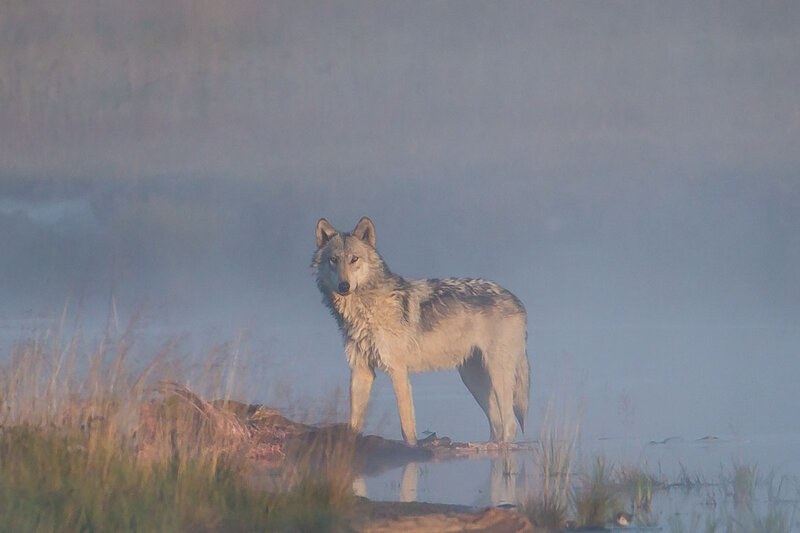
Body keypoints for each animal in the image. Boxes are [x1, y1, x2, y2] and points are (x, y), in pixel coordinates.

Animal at [312, 216, 530, 446]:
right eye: (333, 260)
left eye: (354, 259)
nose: (344, 286)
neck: (365, 309)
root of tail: (515, 298)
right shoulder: (361, 370)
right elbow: (354, 422)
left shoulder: (398, 371)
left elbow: (407, 428)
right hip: (474, 381)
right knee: (497, 424)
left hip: (498, 376)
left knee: (510, 425)